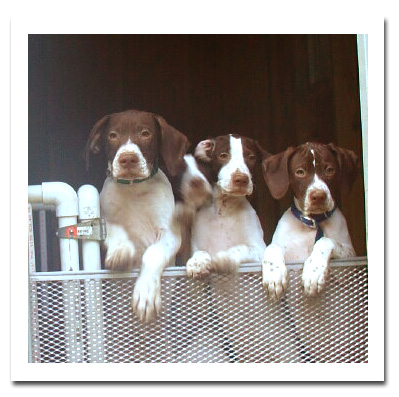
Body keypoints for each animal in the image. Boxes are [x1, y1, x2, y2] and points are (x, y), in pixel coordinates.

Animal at [85, 108, 191, 322]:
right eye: (112, 135)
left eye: (145, 133)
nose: (127, 159)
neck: (134, 189)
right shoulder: (102, 219)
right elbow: (114, 227)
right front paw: (120, 251)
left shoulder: (170, 234)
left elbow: (153, 253)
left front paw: (146, 292)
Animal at [187, 133, 268, 276]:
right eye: (223, 155)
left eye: (251, 157)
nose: (241, 179)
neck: (224, 209)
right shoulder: (197, 245)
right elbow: (200, 251)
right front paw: (197, 262)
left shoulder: (259, 248)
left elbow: (241, 248)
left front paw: (224, 257)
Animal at [262, 141, 360, 298]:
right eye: (300, 172)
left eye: (329, 170)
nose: (318, 196)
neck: (312, 223)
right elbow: (272, 247)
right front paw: (274, 274)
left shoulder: (348, 266)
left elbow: (325, 240)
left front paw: (314, 271)